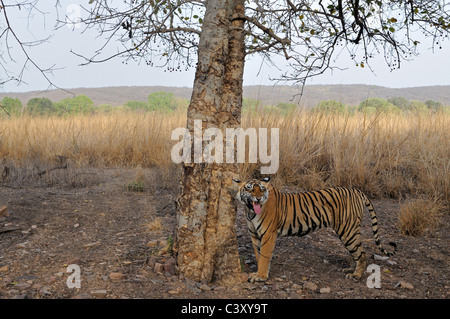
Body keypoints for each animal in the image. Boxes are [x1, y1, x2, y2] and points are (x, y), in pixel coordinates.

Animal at [234, 176, 396, 284]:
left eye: (261, 189)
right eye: (249, 188)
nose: (258, 198)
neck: (250, 211)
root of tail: (357, 190)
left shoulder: (268, 234)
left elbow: (264, 256)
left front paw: (260, 276)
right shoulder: (255, 235)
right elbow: (258, 254)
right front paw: (258, 271)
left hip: (347, 230)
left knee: (361, 254)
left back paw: (356, 275)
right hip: (349, 232)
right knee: (356, 252)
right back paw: (351, 270)